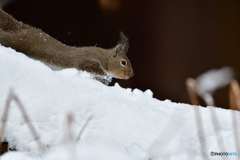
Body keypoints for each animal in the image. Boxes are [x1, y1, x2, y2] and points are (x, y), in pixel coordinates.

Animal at [0, 8, 133, 84]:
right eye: (123, 62)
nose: (131, 75)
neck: (104, 58)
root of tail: (20, 26)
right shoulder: (88, 62)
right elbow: (89, 67)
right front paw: (104, 76)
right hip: (19, 42)